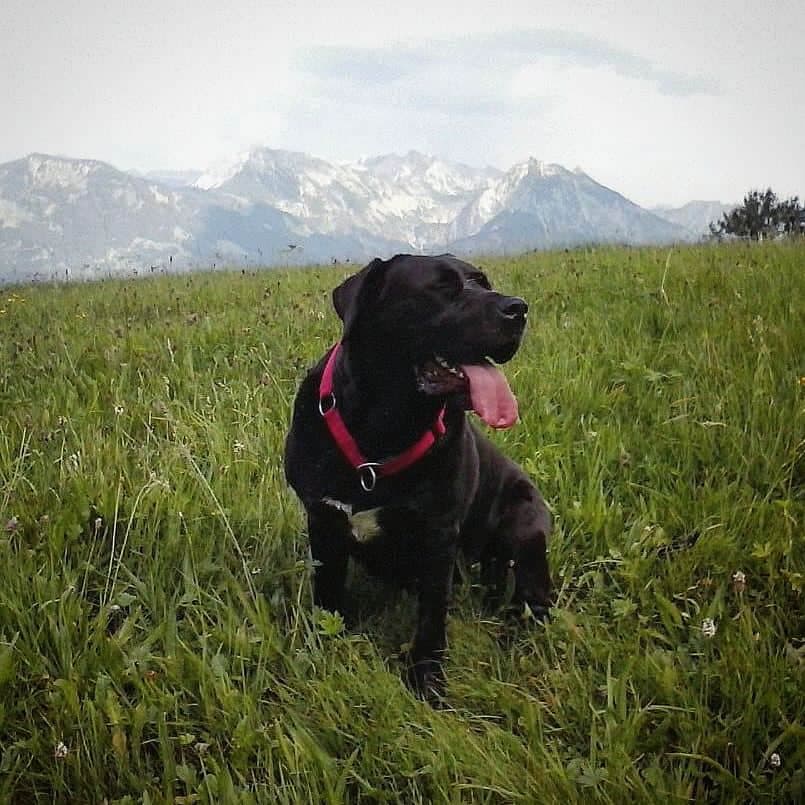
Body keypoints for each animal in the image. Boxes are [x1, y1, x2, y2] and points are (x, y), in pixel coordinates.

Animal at [284, 253, 552, 696]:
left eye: (483, 282)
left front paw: (427, 679)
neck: (382, 430)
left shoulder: (437, 534)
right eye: (441, 288)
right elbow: (327, 595)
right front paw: (322, 648)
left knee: (536, 593)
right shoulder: (322, 520)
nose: (518, 308)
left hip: (526, 521)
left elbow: (431, 615)